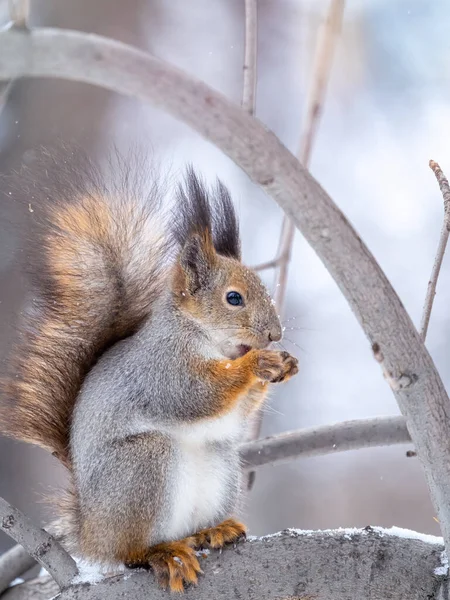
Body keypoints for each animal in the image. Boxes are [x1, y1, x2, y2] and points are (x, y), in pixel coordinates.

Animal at [0, 146, 298, 592]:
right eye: (234, 298)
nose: (274, 334)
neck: (206, 340)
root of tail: (90, 532)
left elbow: (237, 413)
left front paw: (284, 366)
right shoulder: (161, 368)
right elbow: (194, 394)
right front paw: (256, 363)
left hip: (220, 466)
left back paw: (211, 531)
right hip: (141, 467)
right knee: (129, 551)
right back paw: (162, 554)